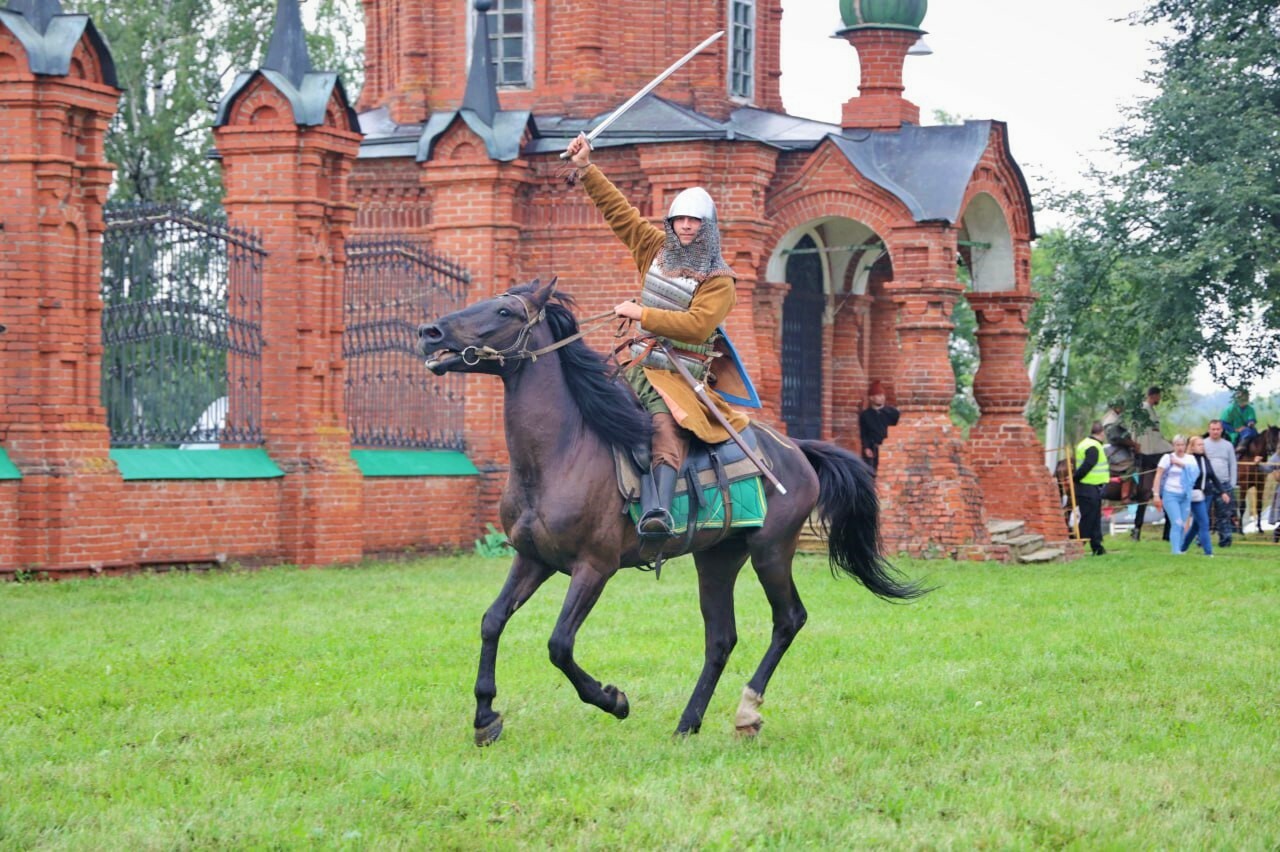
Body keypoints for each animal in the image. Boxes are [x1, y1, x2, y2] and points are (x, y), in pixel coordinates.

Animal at [414, 280, 926, 741]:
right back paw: (688, 722)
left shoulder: (594, 567)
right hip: (717, 558)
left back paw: (746, 711)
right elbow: (492, 621)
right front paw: (486, 716)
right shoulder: (533, 559)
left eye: (504, 312)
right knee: (720, 638)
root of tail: (795, 449)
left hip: (771, 552)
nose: (430, 332)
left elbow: (559, 644)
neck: (561, 452)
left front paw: (613, 700)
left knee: (789, 619)